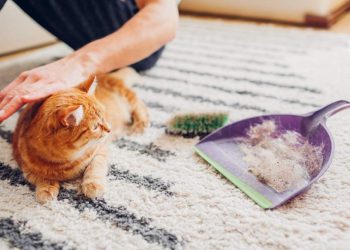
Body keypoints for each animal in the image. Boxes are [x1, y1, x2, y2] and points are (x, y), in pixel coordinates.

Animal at [12, 68, 148, 203]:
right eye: (95, 127)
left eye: (104, 115)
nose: (109, 130)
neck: (63, 162)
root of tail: (107, 75)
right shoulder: (25, 167)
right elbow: (42, 177)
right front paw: (46, 189)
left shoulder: (100, 149)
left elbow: (95, 167)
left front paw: (92, 185)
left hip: (128, 97)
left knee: (140, 106)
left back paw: (140, 125)